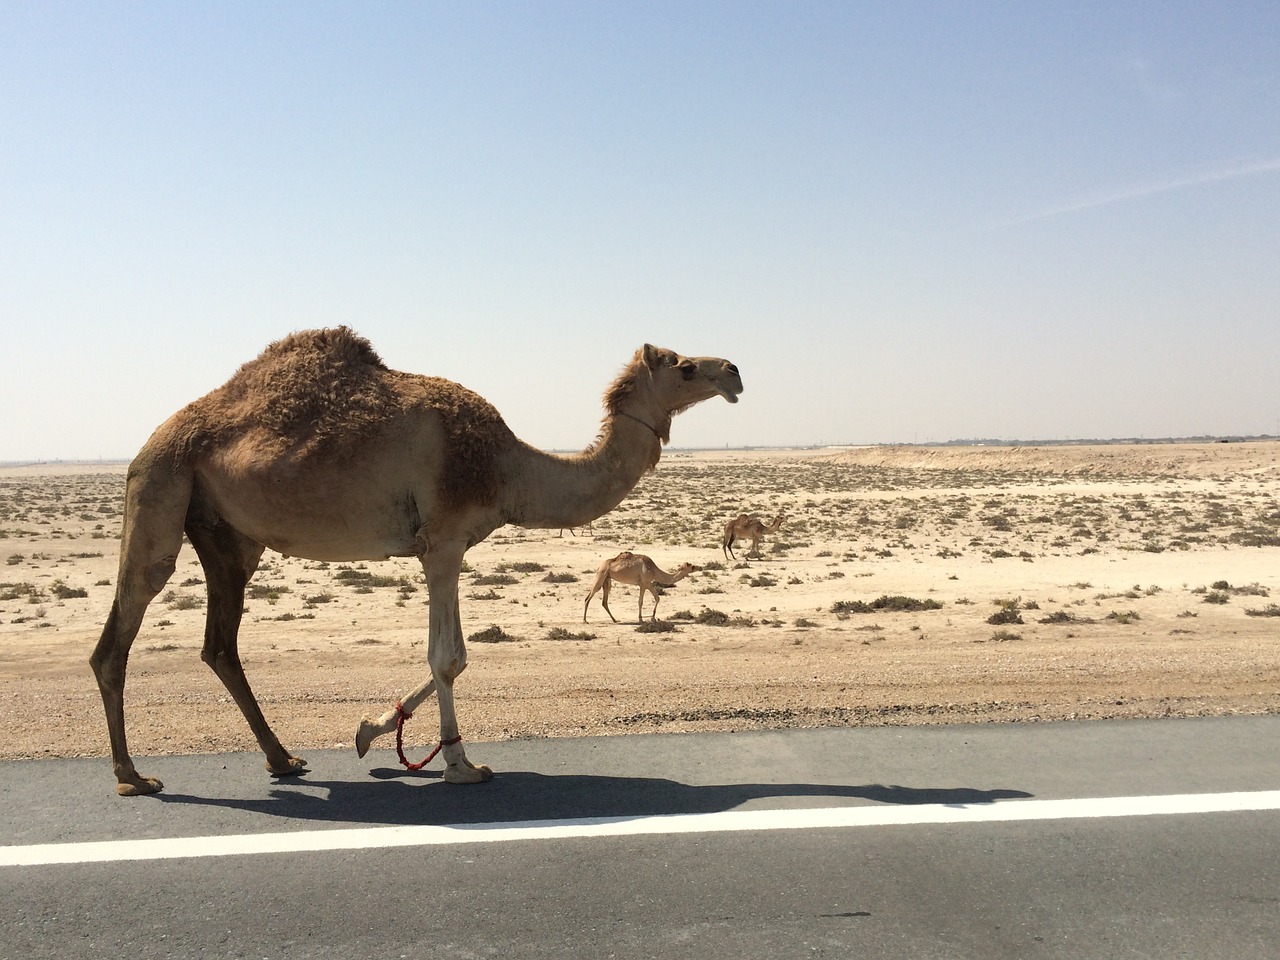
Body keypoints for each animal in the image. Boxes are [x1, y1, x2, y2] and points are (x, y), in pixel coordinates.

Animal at [90, 330, 742, 798]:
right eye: (684, 365)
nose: (733, 371)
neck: (506, 467)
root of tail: (153, 440)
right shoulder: (444, 542)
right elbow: (449, 658)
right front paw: (460, 764)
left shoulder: (445, 545)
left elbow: (459, 656)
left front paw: (370, 731)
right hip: (160, 486)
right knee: (120, 633)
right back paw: (133, 776)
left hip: (228, 535)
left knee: (220, 644)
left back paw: (283, 759)